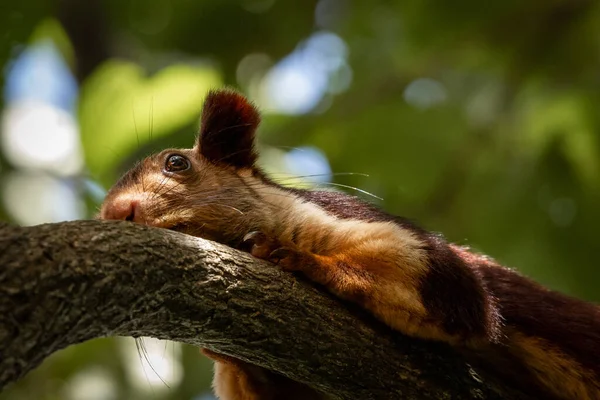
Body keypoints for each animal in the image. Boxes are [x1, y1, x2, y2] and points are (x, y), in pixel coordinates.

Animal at [101, 89, 600, 398]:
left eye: (176, 163)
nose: (116, 213)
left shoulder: (402, 243)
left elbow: (450, 290)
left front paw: (303, 259)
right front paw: (232, 359)